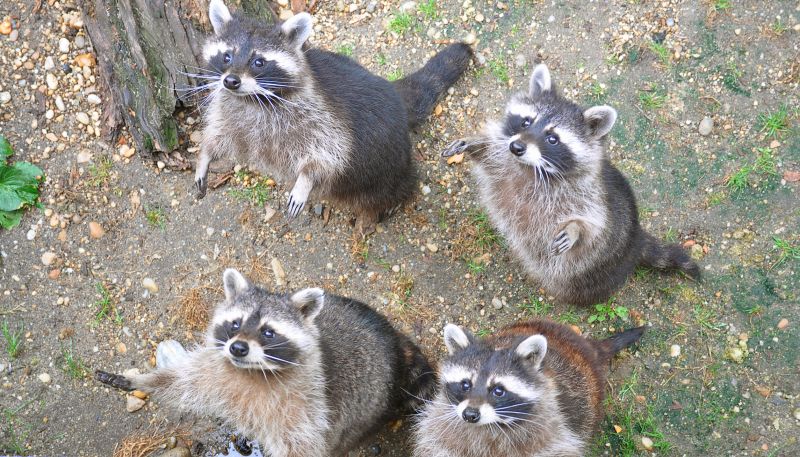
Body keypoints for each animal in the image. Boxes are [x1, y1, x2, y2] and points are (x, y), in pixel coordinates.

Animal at [96, 269, 435, 457]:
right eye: (235, 323)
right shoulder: (216, 370)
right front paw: (142, 380)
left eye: (268, 332)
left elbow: (303, 446)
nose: (238, 348)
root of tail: (396, 341)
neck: (251, 372)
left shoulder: (305, 408)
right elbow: (182, 381)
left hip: (364, 411)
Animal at [194, 0, 472, 233]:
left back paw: (395, 197)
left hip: (384, 155)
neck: (253, 99)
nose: (231, 81)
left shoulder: (323, 116)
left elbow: (328, 153)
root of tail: (392, 91)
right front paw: (205, 155)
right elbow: (220, 135)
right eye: (227, 56)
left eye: (258, 62)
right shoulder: (231, 111)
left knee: (388, 184)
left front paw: (306, 179)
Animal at [413, 320, 645, 457]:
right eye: (465, 384)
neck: (491, 426)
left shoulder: (552, 434)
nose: (470, 415)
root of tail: (586, 346)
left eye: (498, 390)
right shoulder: (443, 426)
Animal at [443, 64, 699, 306]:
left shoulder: (591, 196)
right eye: (526, 121)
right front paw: (473, 144)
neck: (531, 169)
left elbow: (593, 226)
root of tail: (637, 238)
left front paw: (575, 228)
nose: (516, 147)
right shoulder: (504, 167)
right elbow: (489, 158)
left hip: (601, 273)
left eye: (552, 139)